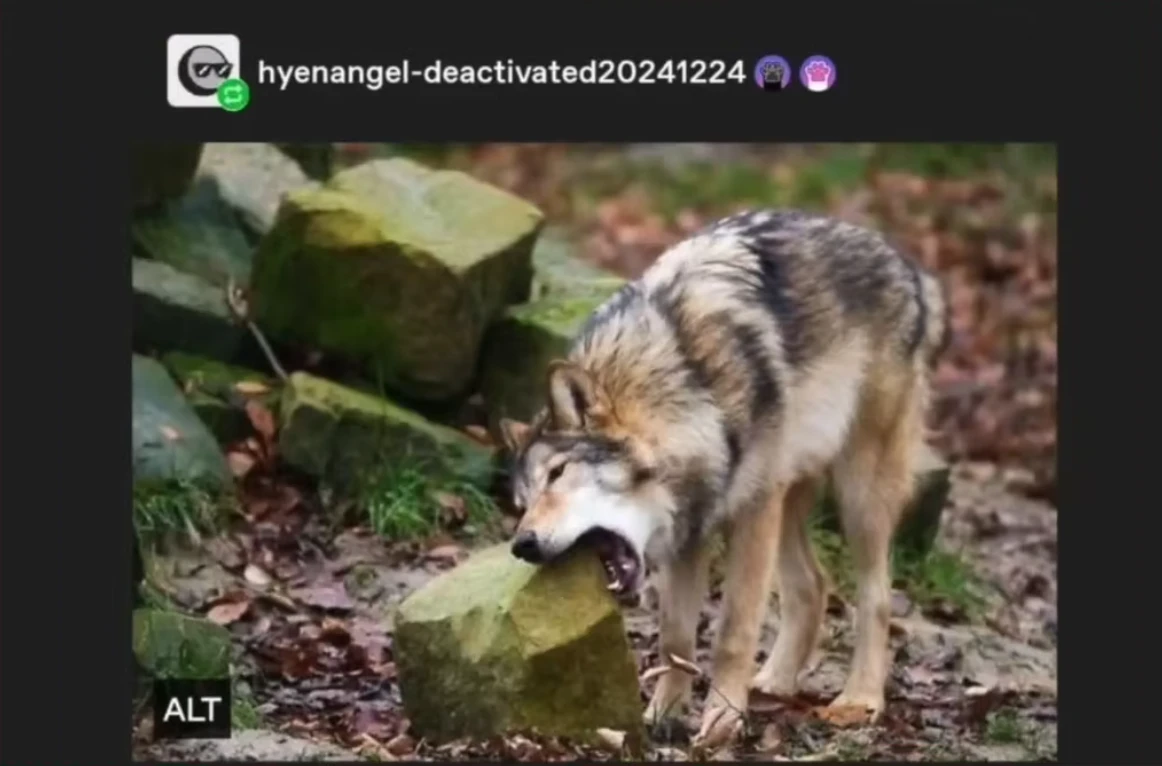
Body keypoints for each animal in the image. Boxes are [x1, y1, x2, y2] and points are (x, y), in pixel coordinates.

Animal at [498, 209, 947, 747]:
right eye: (522, 501)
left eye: (558, 473)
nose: (521, 544)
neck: (688, 388)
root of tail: (906, 263)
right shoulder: (691, 533)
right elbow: (675, 637)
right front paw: (662, 717)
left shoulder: (752, 511)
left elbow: (733, 630)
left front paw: (723, 718)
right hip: (791, 499)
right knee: (812, 586)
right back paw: (775, 682)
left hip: (858, 495)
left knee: (876, 597)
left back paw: (859, 700)